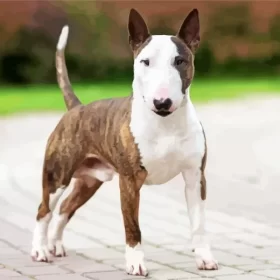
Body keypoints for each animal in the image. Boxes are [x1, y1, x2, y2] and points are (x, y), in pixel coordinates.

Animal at [30, 8, 219, 276]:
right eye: (145, 61)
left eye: (180, 61)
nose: (162, 102)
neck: (165, 123)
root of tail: (76, 108)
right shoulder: (129, 181)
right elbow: (133, 227)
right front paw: (135, 264)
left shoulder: (195, 178)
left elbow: (199, 224)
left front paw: (204, 259)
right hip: (57, 176)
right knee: (44, 210)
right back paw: (40, 250)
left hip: (89, 181)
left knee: (65, 208)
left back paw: (56, 245)